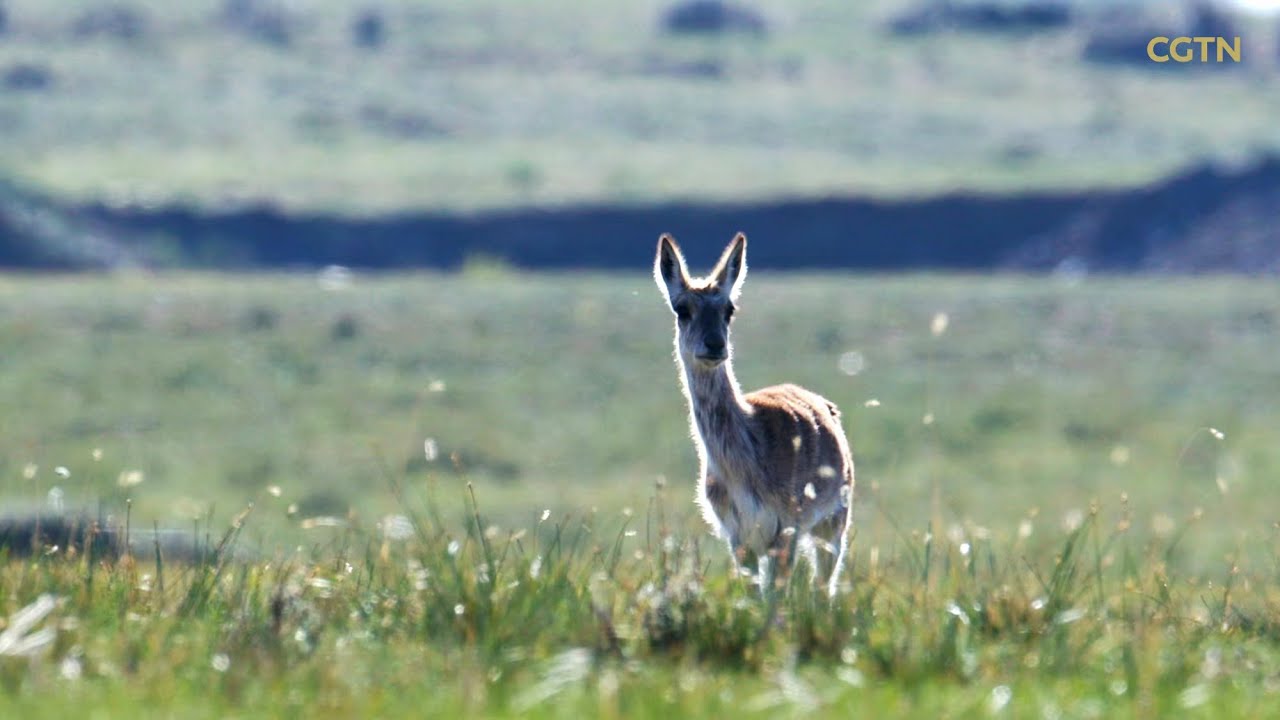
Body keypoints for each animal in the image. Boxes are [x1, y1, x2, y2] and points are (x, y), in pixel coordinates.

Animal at [653, 232, 855, 597]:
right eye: (682, 309)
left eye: (729, 309)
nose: (715, 344)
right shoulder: (739, 537)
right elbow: (752, 597)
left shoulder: (785, 529)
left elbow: (774, 598)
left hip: (833, 525)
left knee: (823, 588)